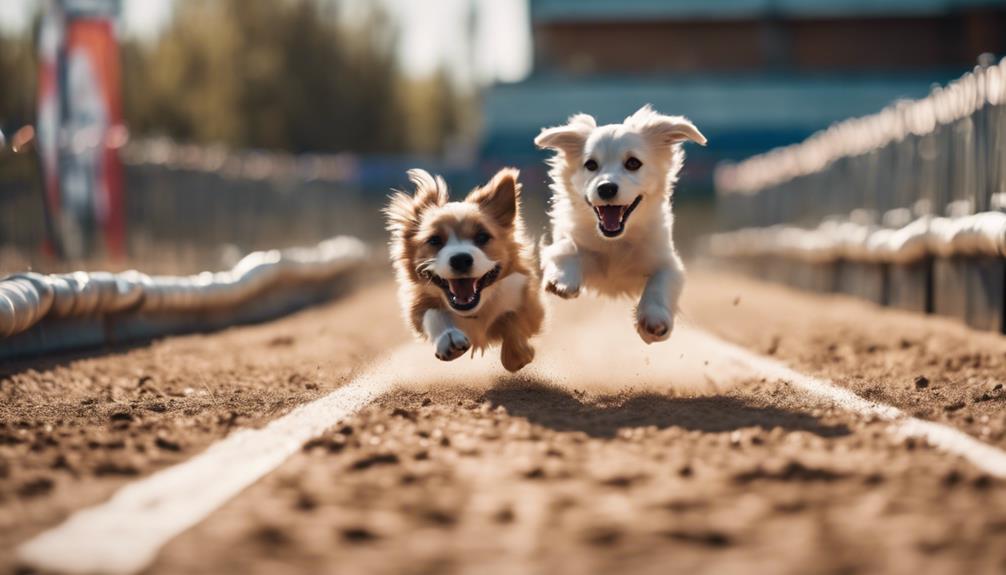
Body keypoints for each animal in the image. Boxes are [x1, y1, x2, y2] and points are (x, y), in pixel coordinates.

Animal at [382, 165, 543, 371]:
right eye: (434, 240)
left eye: (482, 237)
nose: (460, 259)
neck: (475, 311)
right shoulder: (418, 305)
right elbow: (432, 314)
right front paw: (448, 339)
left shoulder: (528, 302)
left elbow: (512, 319)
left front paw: (518, 354)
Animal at [535, 105, 708, 343]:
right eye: (590, 165)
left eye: (633, 163)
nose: (606, 188)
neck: (615, 241)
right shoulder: (571, 242)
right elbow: (565, 247)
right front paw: (562, 280)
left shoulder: (667, 261)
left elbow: (661, 281)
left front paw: (654, 318)